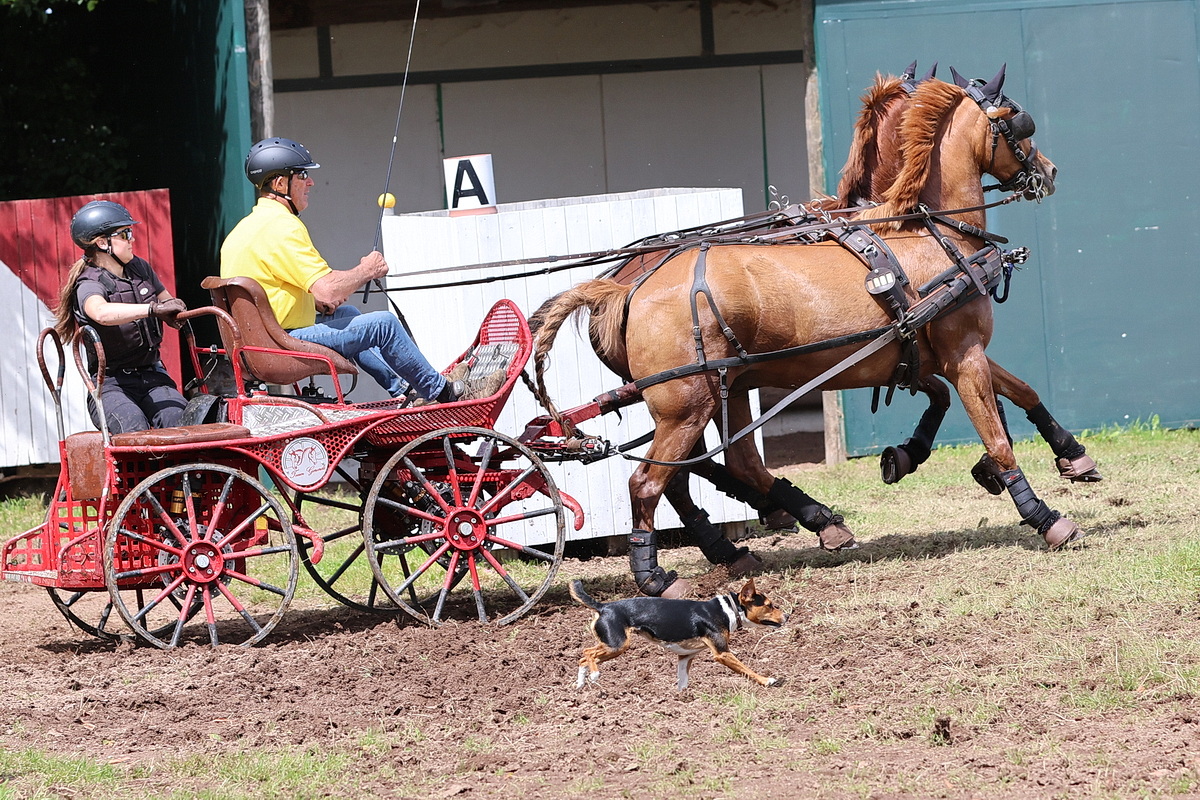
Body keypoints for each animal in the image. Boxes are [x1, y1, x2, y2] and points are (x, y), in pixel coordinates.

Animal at [532, 67, 1080, 594]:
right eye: (1019, 122)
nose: (1050, 170)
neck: (931, 231)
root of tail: (625, 290)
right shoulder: (961, 353)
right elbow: (995, 433)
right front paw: (1044, 516)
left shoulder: (938, 355)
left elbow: (1016, 391)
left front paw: (1070, 454)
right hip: (688, 405)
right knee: (650, 483)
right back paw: (657, 577)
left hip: (723, 391)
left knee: (713, 470)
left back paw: (792, 527)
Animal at [571, 578, 787, 690]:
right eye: (770, 605)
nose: (787, 615)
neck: (728, 610)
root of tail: (603, 606)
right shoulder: (722, 653)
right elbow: (747, 670)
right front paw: (767, 680)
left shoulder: (685, 656)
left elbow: (682, 680)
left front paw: (681, 697)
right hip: (618, 644)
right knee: (588, 653)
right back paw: (594, 675)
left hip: (611, 644)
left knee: (582, 657)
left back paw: (580, 684)